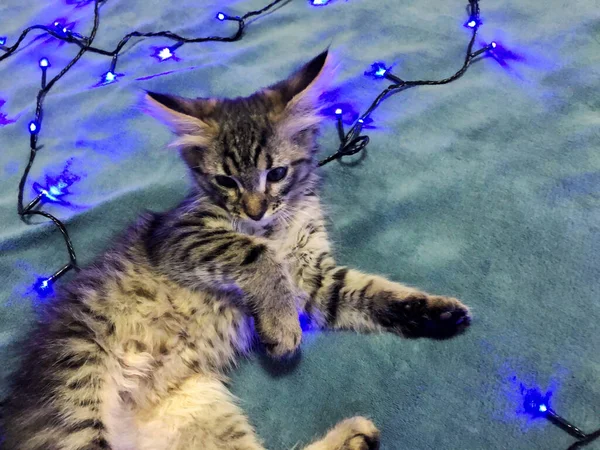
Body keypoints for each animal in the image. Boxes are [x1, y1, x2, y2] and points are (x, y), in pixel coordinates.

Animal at [2, 50, 472, 450]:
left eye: (277, 173)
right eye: (226, 181)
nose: (255, 209)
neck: (275, 227)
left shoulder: (314, 277)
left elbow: (368, 292)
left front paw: (434, 313)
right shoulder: (180, 235)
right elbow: (255, 254)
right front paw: (282, 327)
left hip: (197, 407)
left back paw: (353, 439)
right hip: (77, 402)